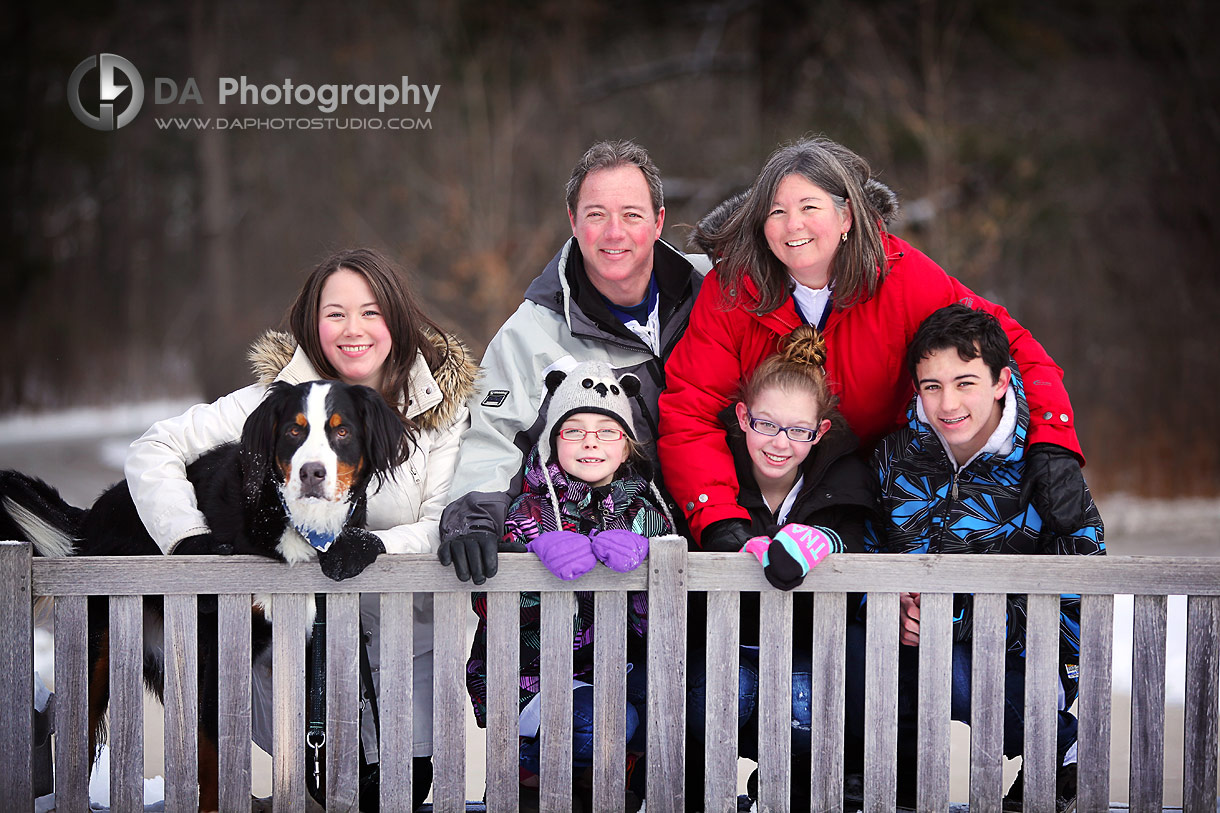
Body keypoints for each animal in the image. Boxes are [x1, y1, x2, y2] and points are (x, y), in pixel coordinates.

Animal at [0, 378, 409, 805]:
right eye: (293, 431)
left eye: (341, 431)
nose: (311, 472)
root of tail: (92, 515)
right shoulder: (221, 635)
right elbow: (213, 749)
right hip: (100, 652)